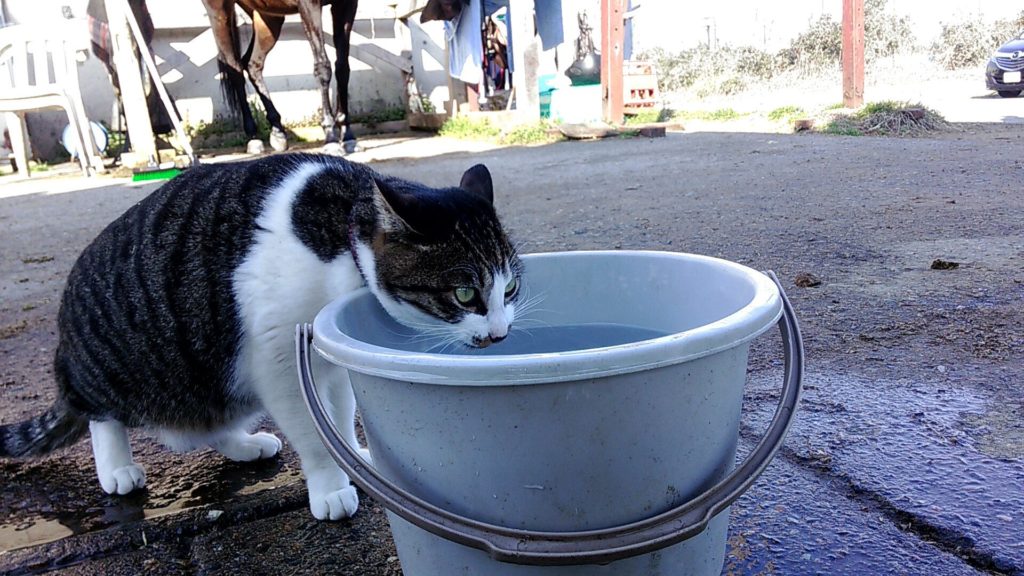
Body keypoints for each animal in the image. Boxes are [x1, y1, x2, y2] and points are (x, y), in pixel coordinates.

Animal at [0, 153, 524, 520]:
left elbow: (339, 415)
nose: (500, 334)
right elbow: (314, 432)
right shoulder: (278, 362)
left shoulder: (329, 359)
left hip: (212, 378)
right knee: (100, 413)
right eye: (464, 294)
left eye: (510, 288)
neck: (344, 233)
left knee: (206, 421)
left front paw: (354, 457)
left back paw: (245, 444)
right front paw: (331, 486)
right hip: (124, 368)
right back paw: (116, 468)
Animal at [201, 0, 358, 154]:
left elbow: (343, 68)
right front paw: (331, 137)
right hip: (219, 13)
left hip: (267, 16)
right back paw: (253, 137)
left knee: (252, 65)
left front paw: (347, 136)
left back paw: (278, 131)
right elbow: (323, 68)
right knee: (236, 70)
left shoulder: (347, 4)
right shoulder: (309, 6)